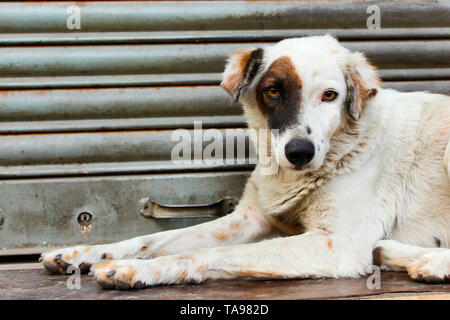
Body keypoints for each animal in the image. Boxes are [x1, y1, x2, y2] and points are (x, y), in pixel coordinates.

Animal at [40, 36, 448, 288]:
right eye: (273, 91)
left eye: (330, 96)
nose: (299, 152)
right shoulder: (248, 218)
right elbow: (152, 239)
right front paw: (79, 253)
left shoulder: (339, 244)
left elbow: (212, 252)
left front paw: (140, 270)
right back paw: (394, 252)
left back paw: (427, 263)